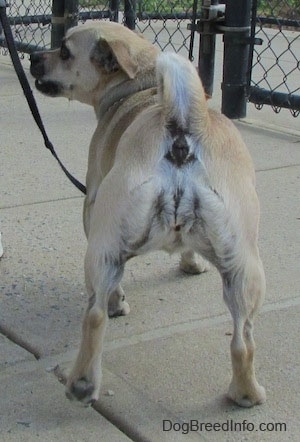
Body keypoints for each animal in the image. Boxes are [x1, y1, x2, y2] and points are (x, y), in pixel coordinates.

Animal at [29, 20, 264, 408]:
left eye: (63, 52)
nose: (33, 56)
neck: (142, 84)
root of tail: (182, 128)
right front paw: (191, 263)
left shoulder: (93, 207)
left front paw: (118, 300)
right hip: (245, 270)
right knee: (243, 340)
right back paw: (245, 393)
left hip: (102, 248)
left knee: (95, 315)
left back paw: (82, 382)